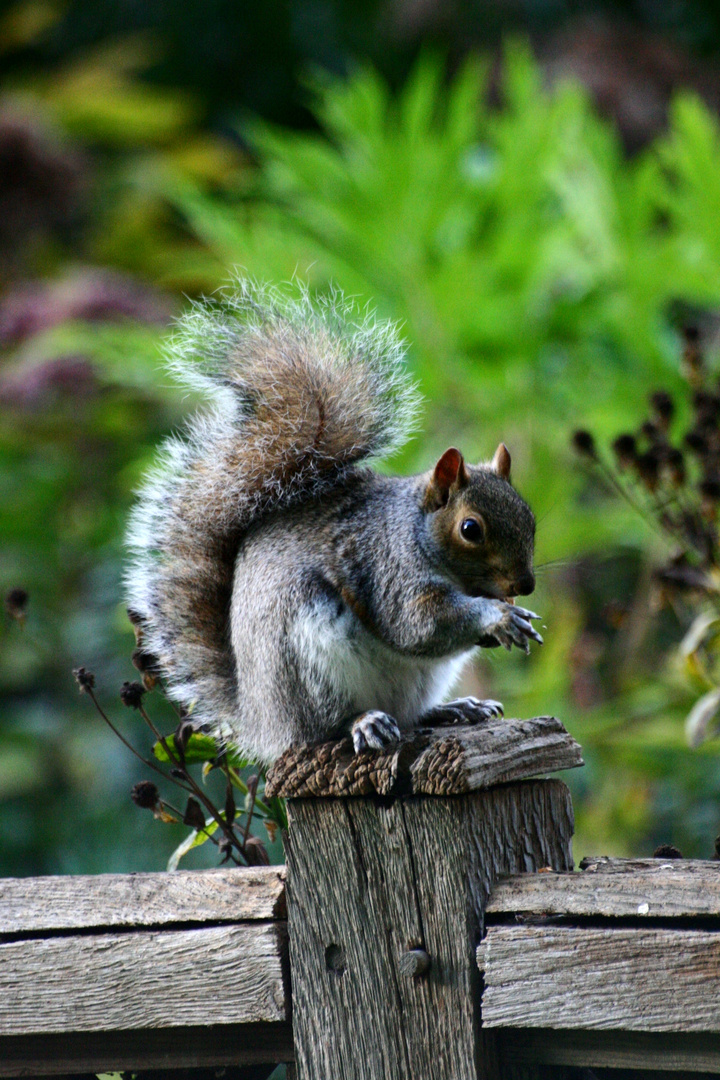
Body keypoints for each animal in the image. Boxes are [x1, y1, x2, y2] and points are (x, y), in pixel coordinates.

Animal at [125, 282, 539, 764]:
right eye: (471, 529)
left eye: (530, 517)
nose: (525, 584)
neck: (415, 531)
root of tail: (261, 720)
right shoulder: (388, 570)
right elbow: (417, 624)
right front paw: (499, 617)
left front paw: (510, 615)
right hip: (308, 664)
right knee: (323, 728)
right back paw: (364, 722)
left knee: (411, 714)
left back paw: (453, 709)